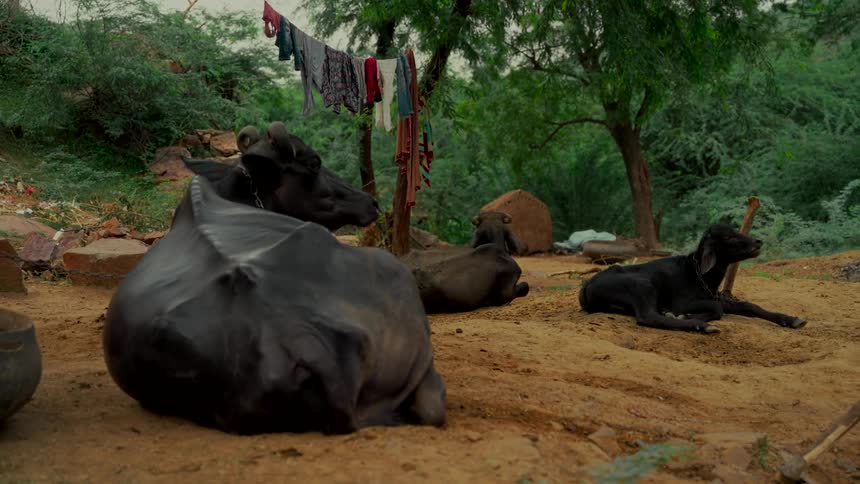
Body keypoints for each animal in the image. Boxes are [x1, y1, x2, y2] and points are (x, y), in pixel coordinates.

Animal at [578, 223, 808, 333]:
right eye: (730, 236)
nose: (758, 242)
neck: (702, 276)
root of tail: (587, 285)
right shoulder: (684, 302)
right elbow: (717, 310)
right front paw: (688, 317)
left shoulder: (717, 296)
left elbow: (749, 306)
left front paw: (791, 319)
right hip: (643, 285)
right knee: (647, 317)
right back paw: (698, 325)